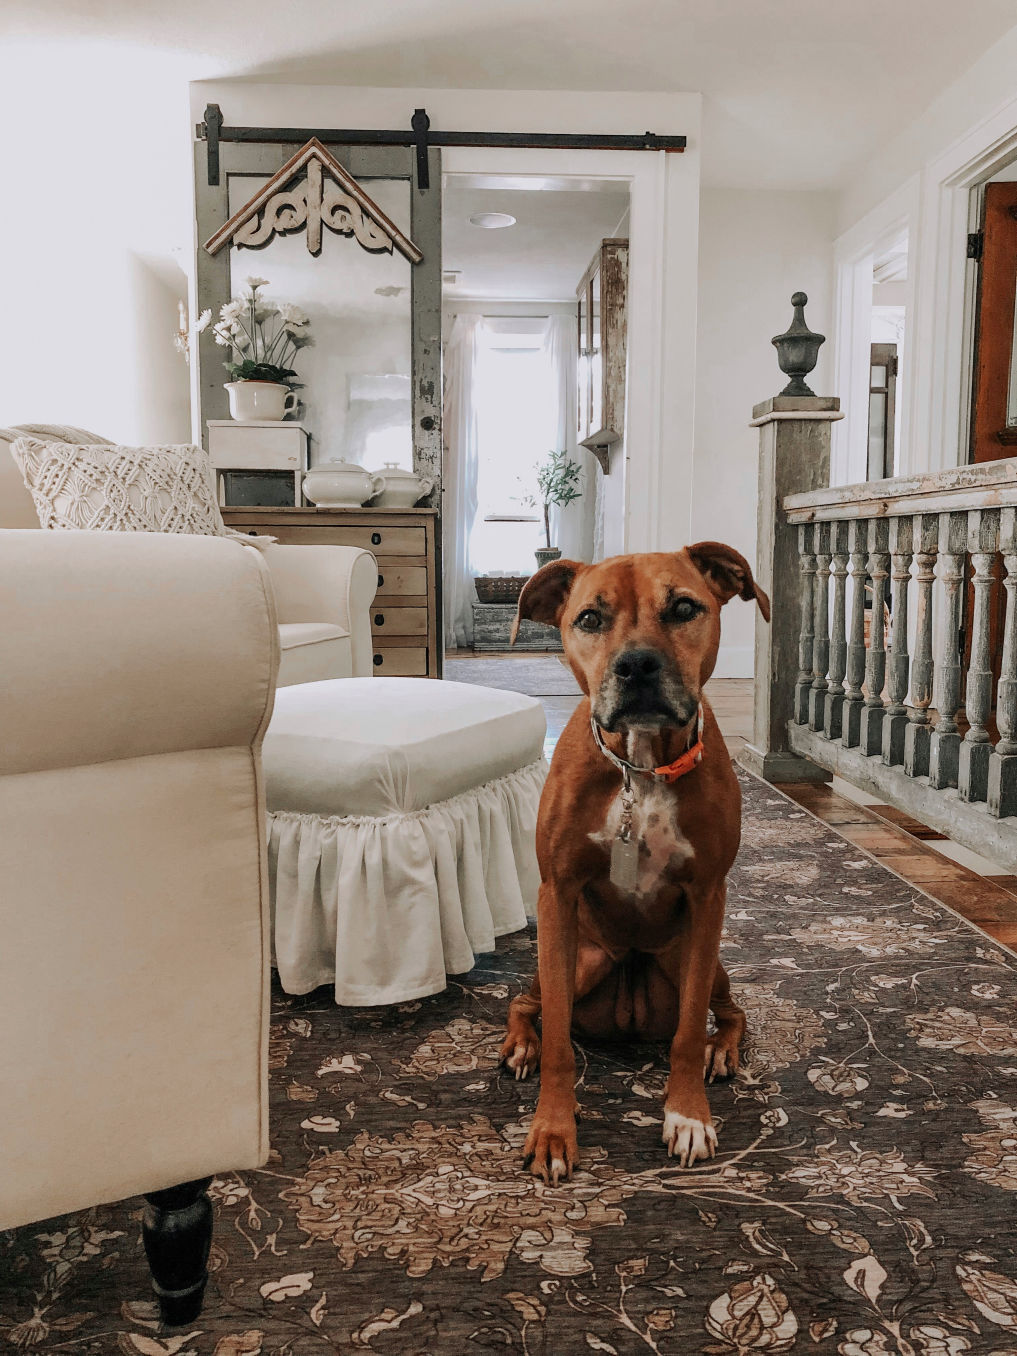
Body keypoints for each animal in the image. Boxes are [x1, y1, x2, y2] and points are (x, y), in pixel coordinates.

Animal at [501, 545, 770, 1182]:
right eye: (590, 619)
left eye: (684, 608)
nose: (637, 665)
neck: (640, 768)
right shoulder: (557, 893)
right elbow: (557, 1042)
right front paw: (553, 1129)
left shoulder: (708, 897)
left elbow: (688, 1029)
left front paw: (687, 1115)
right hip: (577, 961)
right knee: (526, 1004)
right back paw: (521, 1044)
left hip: (696, 961)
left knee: (731, 1012)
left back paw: (721, 1051)